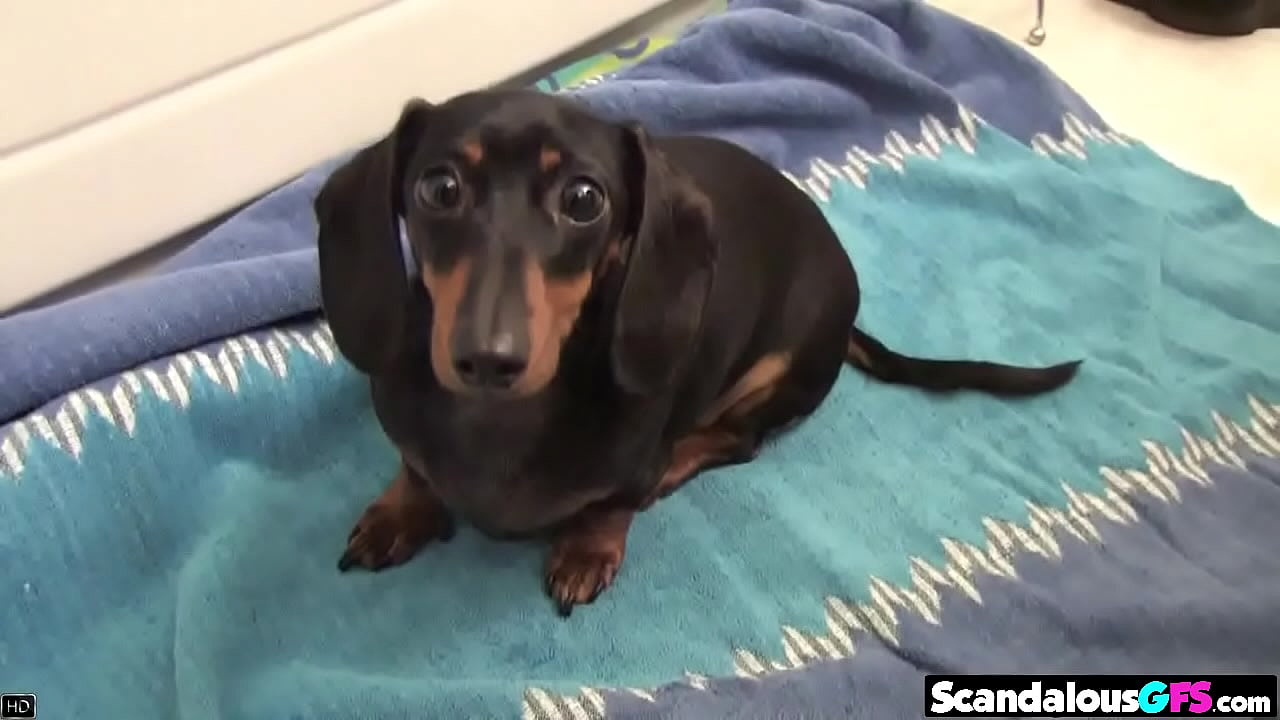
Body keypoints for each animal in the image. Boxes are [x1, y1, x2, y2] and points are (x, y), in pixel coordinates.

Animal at [312, 89, 1080, 614]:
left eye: (584, 199)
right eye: (438, 187)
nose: (488, 359)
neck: (501, 423)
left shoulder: (634, 461)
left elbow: (614, 503)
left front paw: (588, 549)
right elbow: (414, 467)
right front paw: (399, 513)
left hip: (785, 364)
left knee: (738, 439)